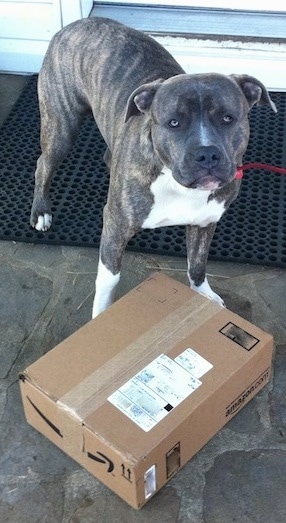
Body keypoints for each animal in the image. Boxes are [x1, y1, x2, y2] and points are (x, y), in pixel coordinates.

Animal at [29, 16, 278, 318]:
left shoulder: (205, 222)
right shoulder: (114, 227)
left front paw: (203, 295)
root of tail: (78, 23)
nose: (206, 154)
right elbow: (108, 282)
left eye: (228, 118)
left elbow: (197, 265)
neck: (175, 181)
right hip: (61, 128)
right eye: (174, 122)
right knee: (43, 164)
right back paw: (41, 211)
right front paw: (101, 316)